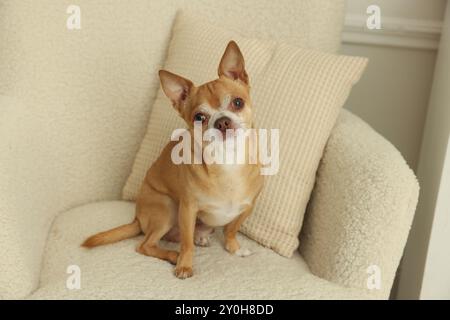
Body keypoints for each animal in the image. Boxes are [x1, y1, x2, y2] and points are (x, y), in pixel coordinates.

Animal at [82, 41, 264, 278]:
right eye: (199, 117)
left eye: (238, 102)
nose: (222, 122)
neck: (227, 162)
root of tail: (137, 217)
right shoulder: (187, 208)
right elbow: (187, 244)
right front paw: (185, 265)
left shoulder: (248, 207)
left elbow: (231, 229)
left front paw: (234, 248)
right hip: (167, 207)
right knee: (146, 245)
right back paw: (172, 255)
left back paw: (200, 237)